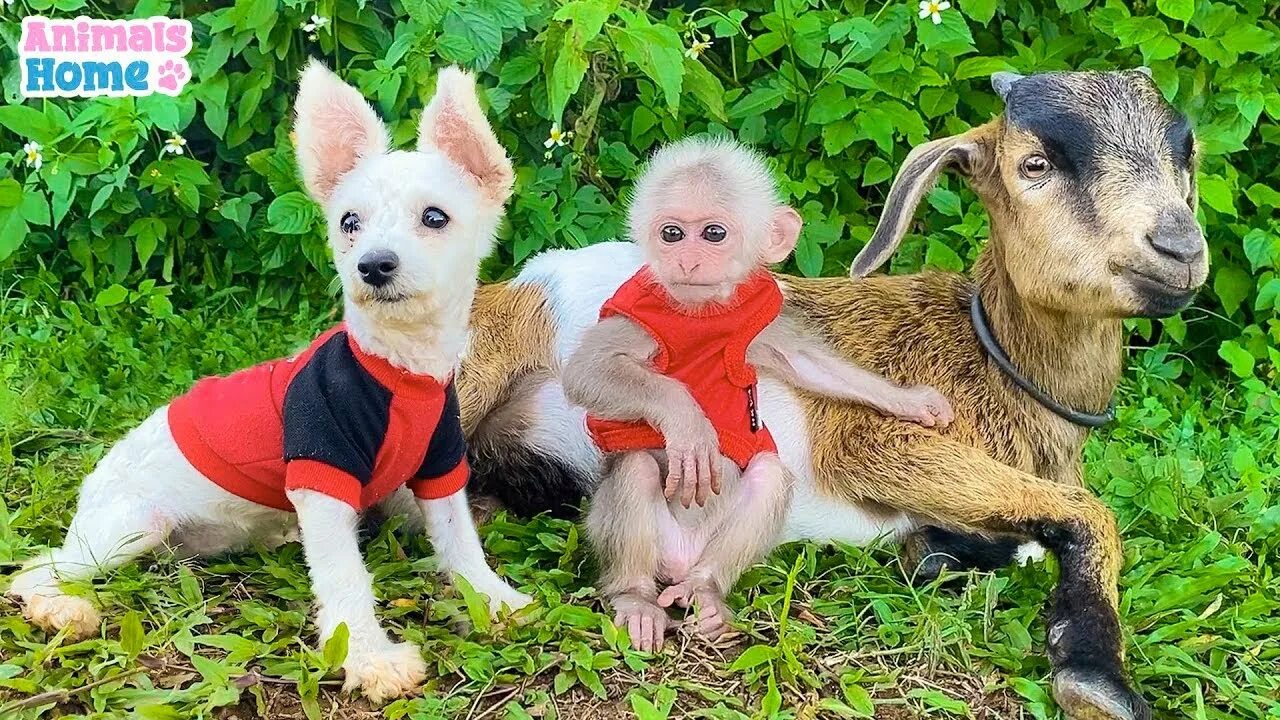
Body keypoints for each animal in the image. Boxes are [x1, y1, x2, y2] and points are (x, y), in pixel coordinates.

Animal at [7, 61, 532, 702]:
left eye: (435, 217)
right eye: (349, 223)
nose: (373, 265)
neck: (399, 370)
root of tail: (94, 477)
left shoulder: (439, 464)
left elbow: (459, 542)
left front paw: (493, 597)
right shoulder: (321, 473)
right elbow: (345, 576)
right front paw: (369, 657)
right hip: (129, 525)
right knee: (34, 571)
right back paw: (62, 608)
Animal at [565, 137, 957, 648]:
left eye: (713, 233)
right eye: (672, 233)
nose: (685, 259)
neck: (705, 315)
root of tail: (681, 560)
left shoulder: (755, 318)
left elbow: (807, 364)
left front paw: (913, 402)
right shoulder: (640, 309)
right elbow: (587, 372)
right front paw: (688, 421)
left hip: (713, 546)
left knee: (770, 477)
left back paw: (707, 594)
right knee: (636, 470)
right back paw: (635, 600)